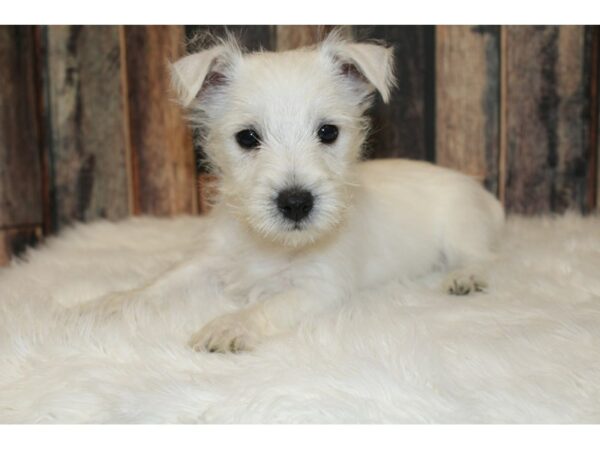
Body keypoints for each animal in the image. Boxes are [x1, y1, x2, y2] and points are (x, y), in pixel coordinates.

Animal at [168, 33, 502, 354]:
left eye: (328, 132)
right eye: (247, 138)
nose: (296, 203)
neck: (272, 243)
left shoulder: (318, 288)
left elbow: (266, 307)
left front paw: (227, 326)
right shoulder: (210, 259)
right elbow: (166, 281)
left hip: (461, 229)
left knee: (482, 257)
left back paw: (466, 277)